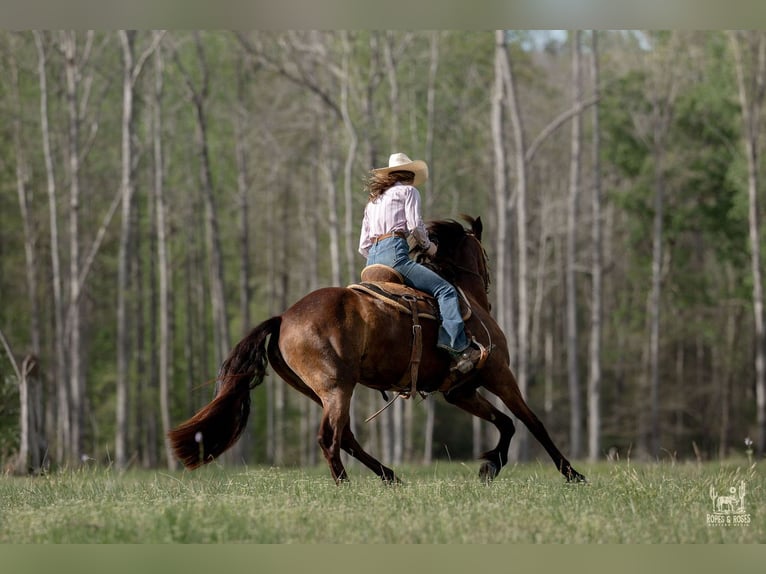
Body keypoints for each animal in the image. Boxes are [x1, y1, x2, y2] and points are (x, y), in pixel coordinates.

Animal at [168, 215, 586, 484]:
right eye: (485, 255)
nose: (488, 283)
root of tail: (284, 317)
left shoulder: (460, 391)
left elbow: (506, 423)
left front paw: (489, 467)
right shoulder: (499, 374)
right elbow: (531, 421)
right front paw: (572, 473)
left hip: (322, 390)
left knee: (346, 436)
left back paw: (390, 477)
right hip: (337, 387)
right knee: (330, 438)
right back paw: (347, 485)